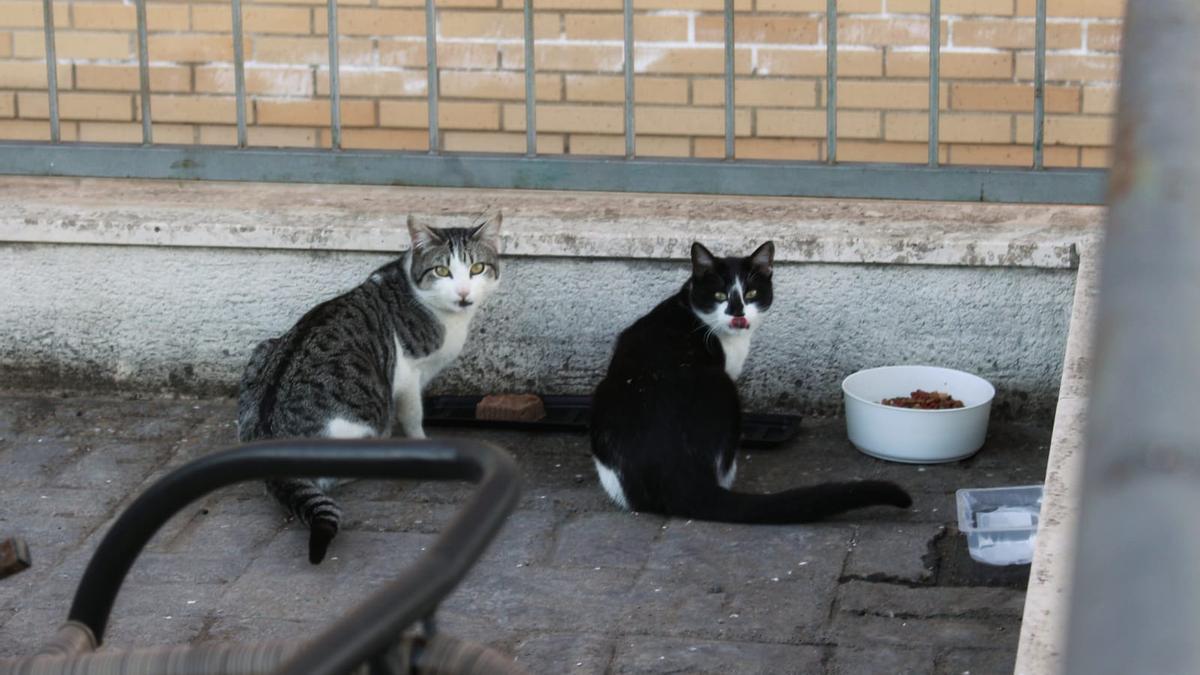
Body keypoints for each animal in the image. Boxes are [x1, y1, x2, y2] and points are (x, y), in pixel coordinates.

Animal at [236, 212, 499, 559]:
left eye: (477, 268)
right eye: (442, 271)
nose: (464, 293)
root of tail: (271, 441)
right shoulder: (407, 373)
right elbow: (413, 415)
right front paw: (422, 442)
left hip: (263, 350)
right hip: (362, 421)